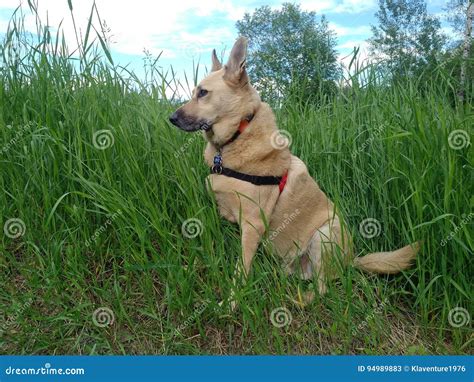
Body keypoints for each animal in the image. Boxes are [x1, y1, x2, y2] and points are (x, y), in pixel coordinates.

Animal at [169, 37, 418, 302]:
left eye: (203, 92)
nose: (171, 118)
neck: (238, 134)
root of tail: (351, 260)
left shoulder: (253, 224)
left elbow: (241, 268)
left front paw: (232, 301)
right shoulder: (226, 216)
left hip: (324, 235)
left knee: (322, 288)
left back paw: (300, 300)